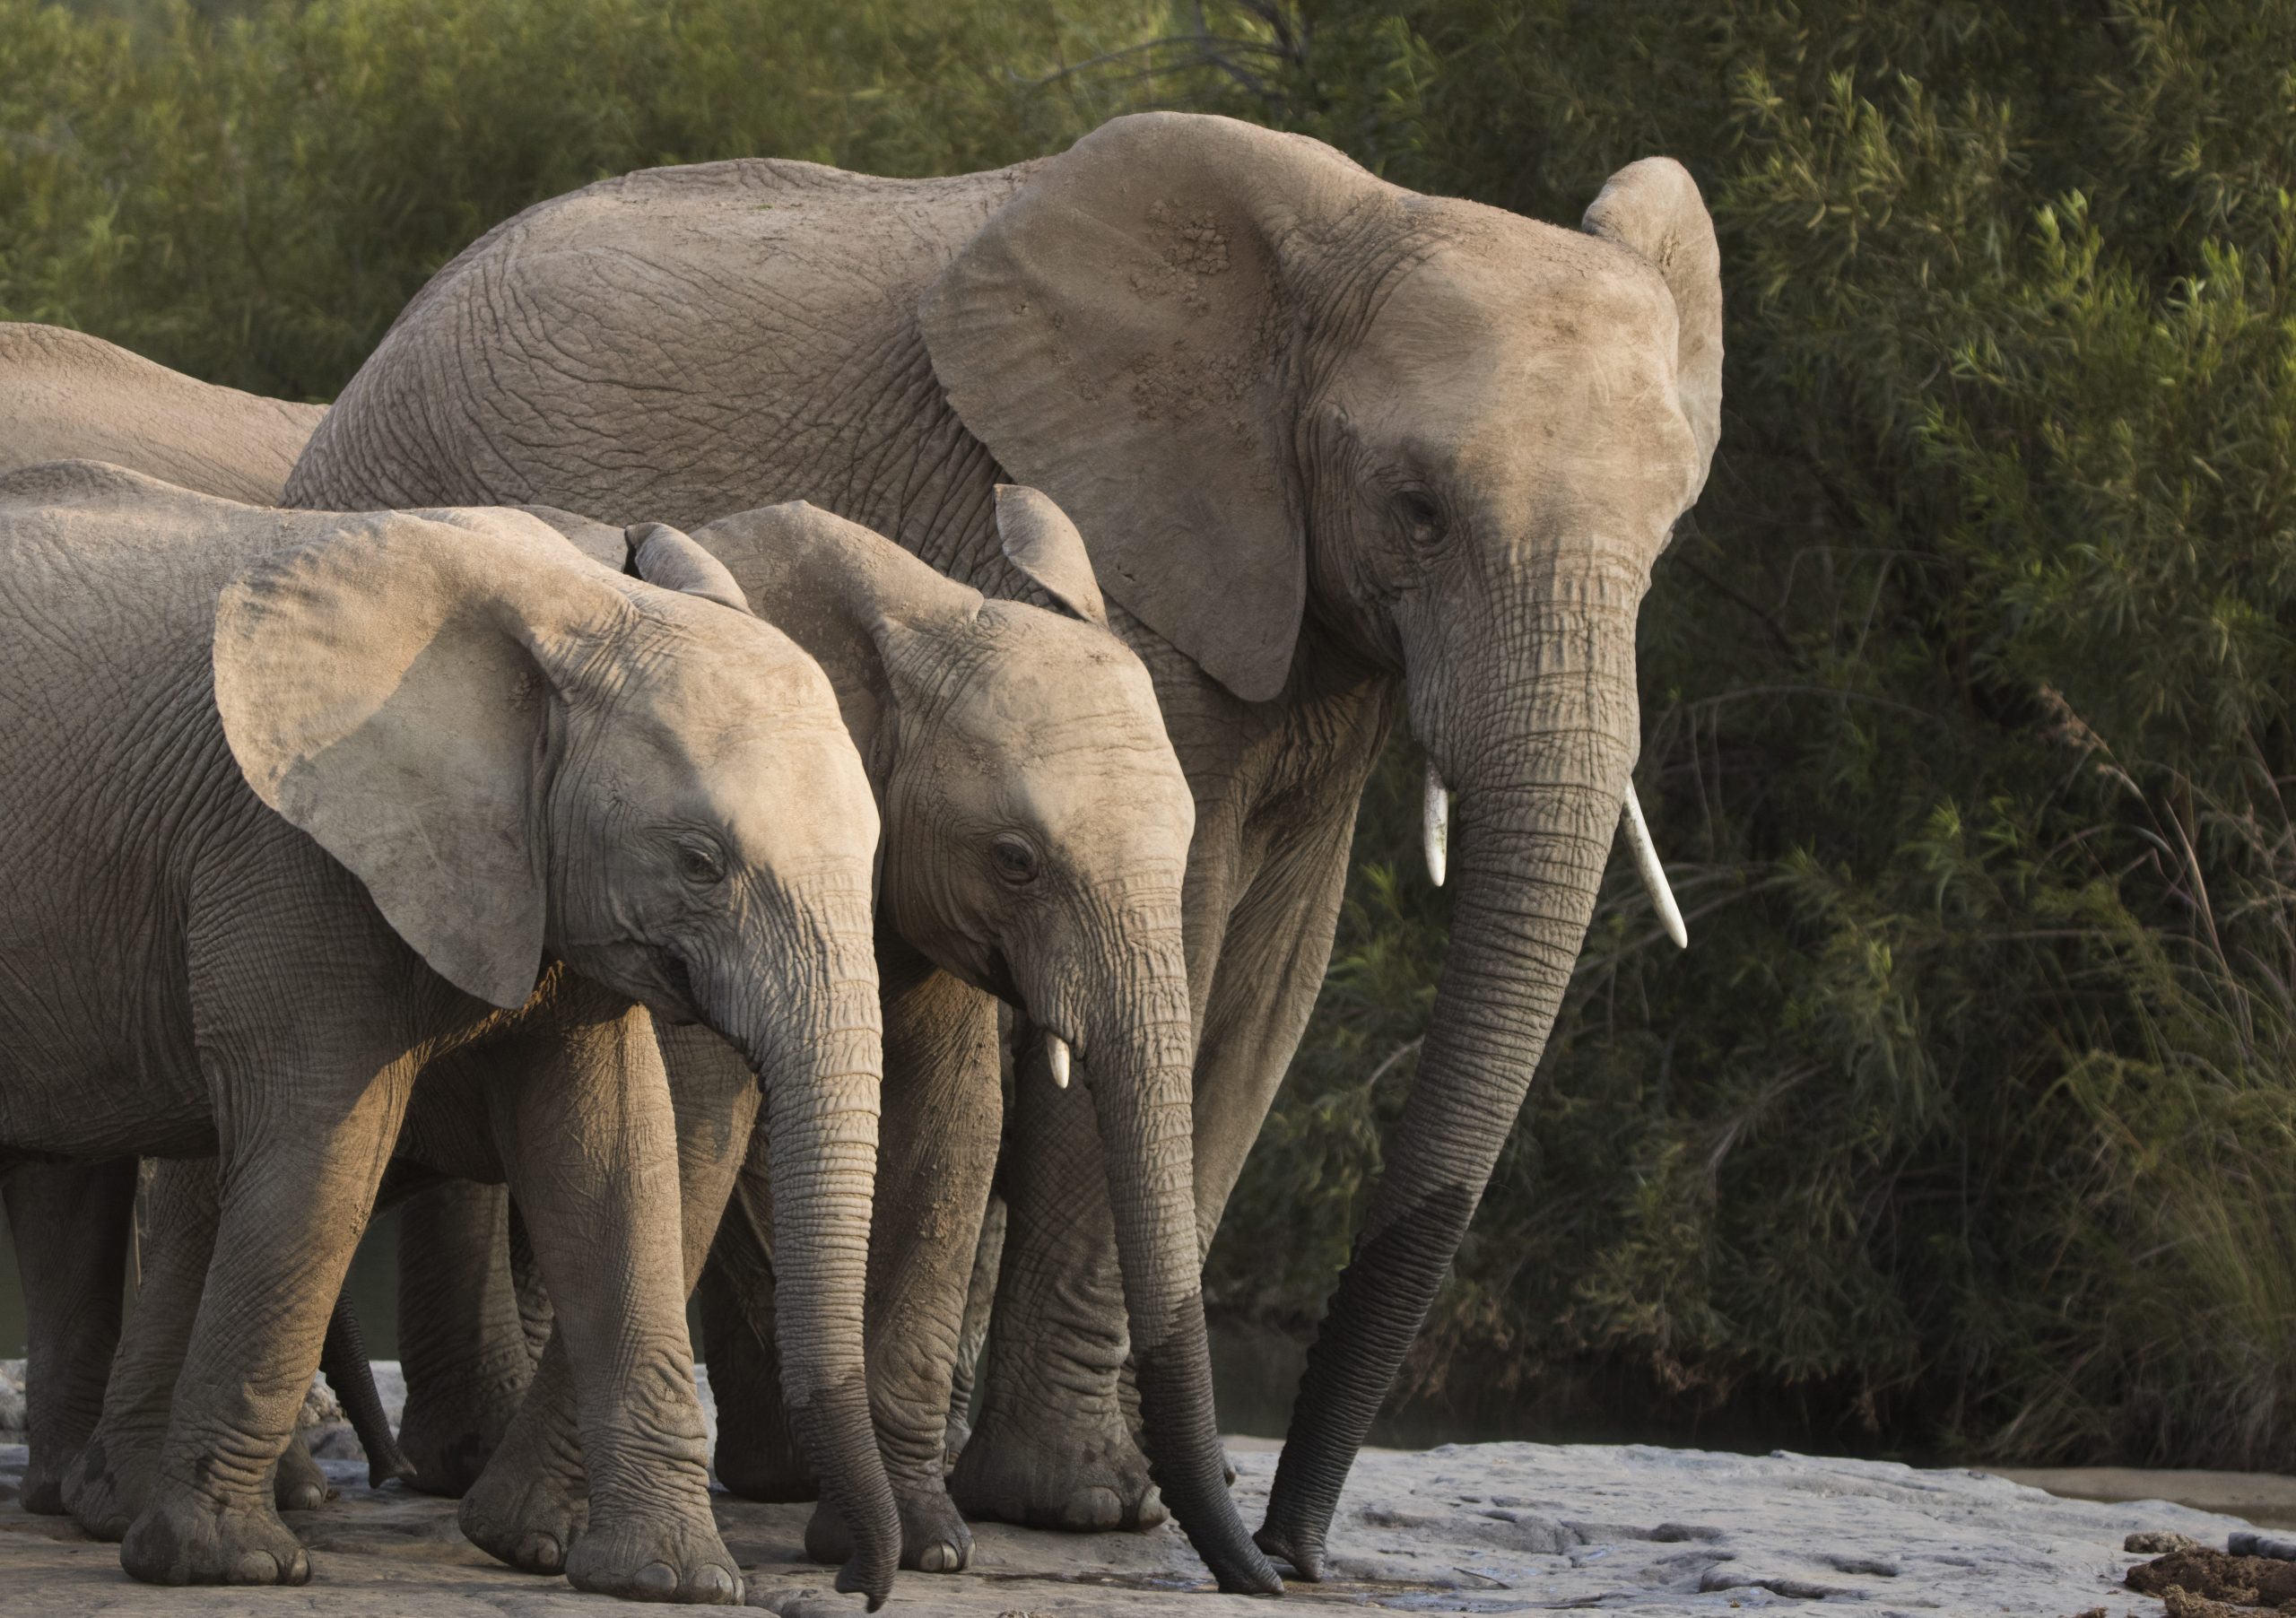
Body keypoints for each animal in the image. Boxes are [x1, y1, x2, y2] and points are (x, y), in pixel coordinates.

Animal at [0, 460, 900, 1605]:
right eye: (700, 862)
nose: (857, 1584)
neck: (579, 611)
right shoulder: (289, 853)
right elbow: (320, 1164)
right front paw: (231, 1565)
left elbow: (610, 1160)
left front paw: (672, 1580)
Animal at [285, 109, 1719, 1578]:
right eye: (1416, 504)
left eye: (1673, 526)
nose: (1295, 1552)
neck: (1331, 240)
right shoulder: (1146, 572)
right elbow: (1166, 972)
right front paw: (1078, 1502)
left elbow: (1266, 991)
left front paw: (1131, 1492)